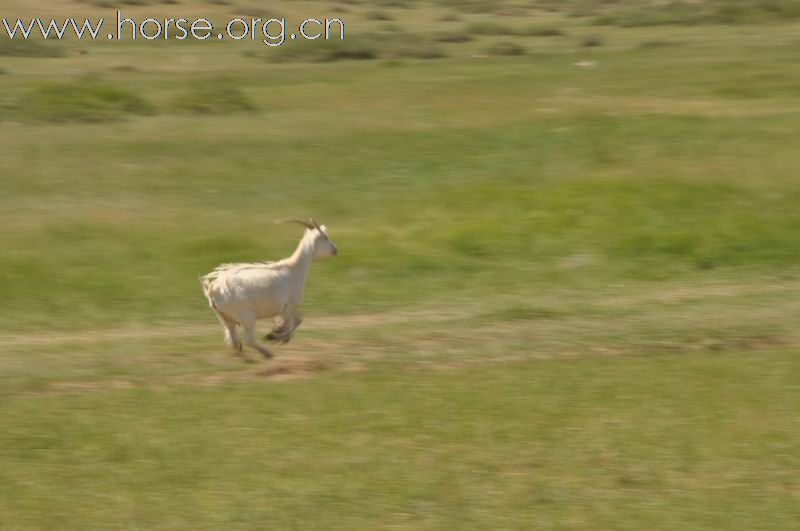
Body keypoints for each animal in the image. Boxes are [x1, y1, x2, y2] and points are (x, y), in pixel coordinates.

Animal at [202, 217, 340, 362]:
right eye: (325, 237)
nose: (335, 250)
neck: (294, 269)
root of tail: (214, 289)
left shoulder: (287, 309)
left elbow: (297, 320)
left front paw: (277, 332)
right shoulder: (288, 308)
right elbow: (294, 322)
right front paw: (276, 336)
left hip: (225, 318)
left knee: (233, 340)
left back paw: (245, 357)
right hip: (247, 316)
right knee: (249, 340)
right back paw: (267, 354)